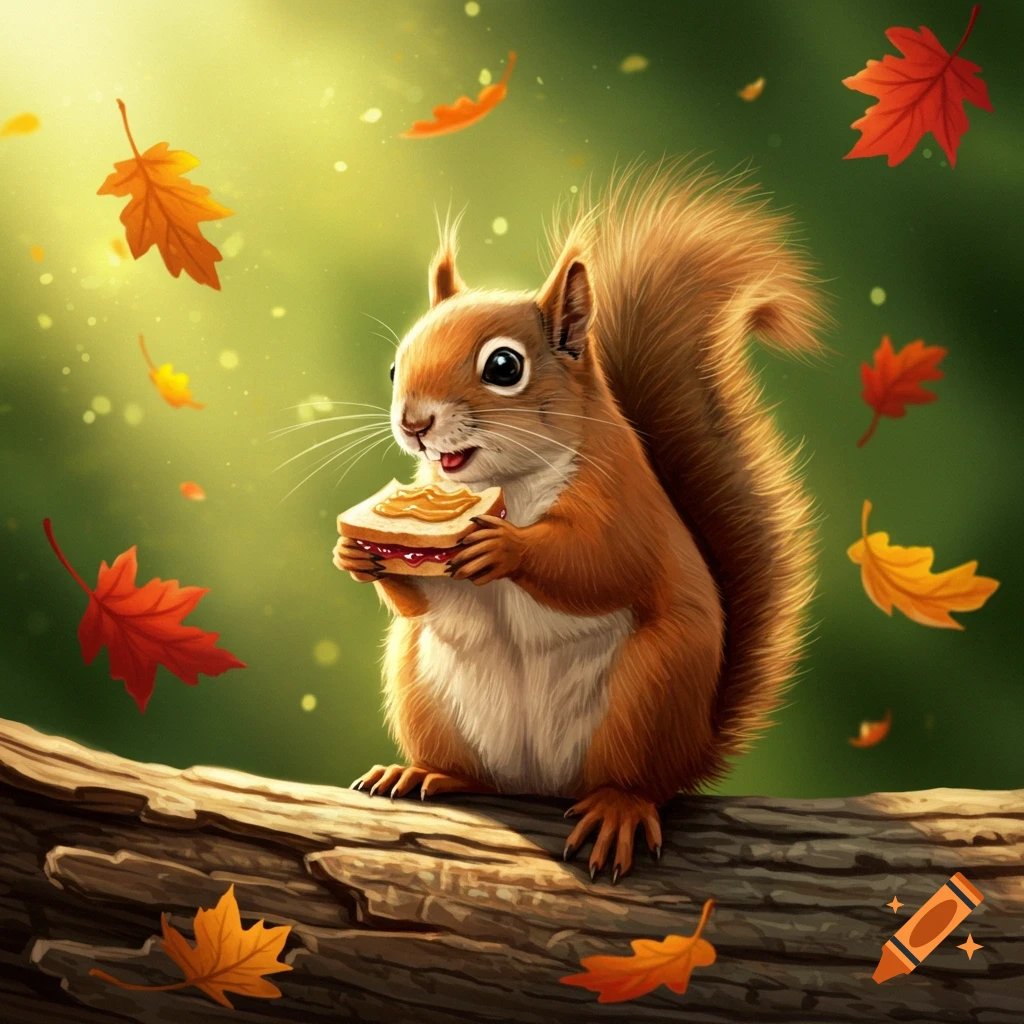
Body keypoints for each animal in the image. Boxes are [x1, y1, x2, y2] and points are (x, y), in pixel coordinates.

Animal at [334, 161, 824, 882]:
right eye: (397, 365)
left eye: (503, 366)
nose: (414, 423)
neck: (503, 488)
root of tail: (542, 783)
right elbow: (421, 599)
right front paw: (356, 557)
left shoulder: (625, 504)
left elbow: (601, 562)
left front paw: (507, 550)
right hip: (425, 691)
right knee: (474, 772)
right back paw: (424, 773)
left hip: (648, 695)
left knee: (638, 782)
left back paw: (618, 808)